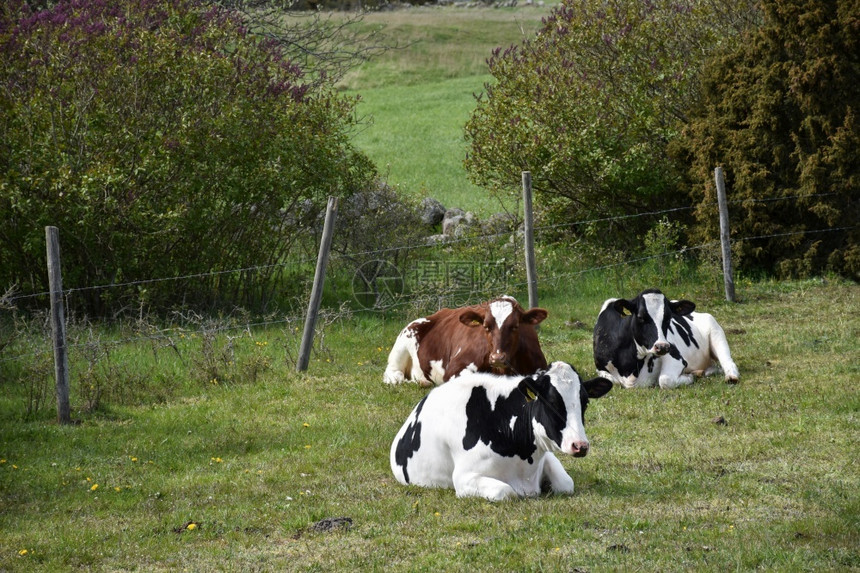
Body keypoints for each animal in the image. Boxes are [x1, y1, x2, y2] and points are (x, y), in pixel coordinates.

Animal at [384, 294, 548, 384]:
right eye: (486, 326)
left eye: (515, 326)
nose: (497, 358)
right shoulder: (455, 369)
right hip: (402, 342)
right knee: (394, 372)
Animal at [390, 362, 612, 500]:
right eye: (551, 402)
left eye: (585, 402)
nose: (580, 445)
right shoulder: (463, 478)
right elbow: (507, 492)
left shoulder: (546, 456)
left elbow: (566, 484)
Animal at [592, 286, 740, 388]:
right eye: (640, 317)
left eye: (668, 317)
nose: (662, 346)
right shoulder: (600, 367)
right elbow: (612, 381)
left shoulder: (676, 356)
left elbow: (664, 380)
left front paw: (690, 377)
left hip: (716, 332)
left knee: (727, 361)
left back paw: (730, 376)